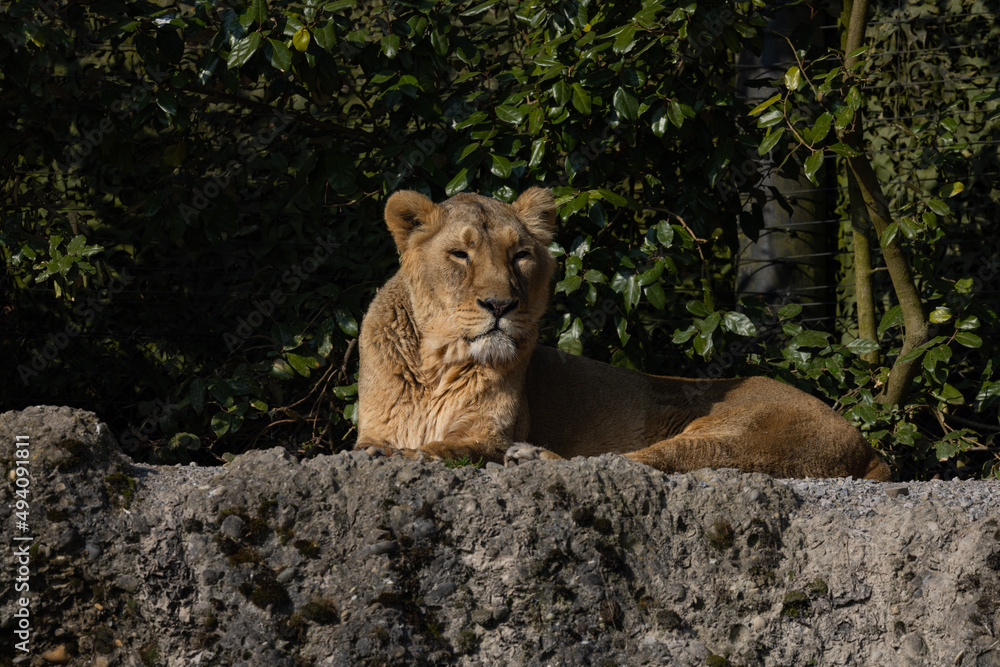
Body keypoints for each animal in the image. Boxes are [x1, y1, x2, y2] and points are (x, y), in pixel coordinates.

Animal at [355, 187, 891, 481]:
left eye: (520, 256)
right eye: (460, 255)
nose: (501, 305)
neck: (436, 364)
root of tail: (866, 446)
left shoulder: (488, 432)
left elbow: (444, 448)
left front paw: (403, 454)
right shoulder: (376, 423)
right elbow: (373, 443)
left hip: (735, 435)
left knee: (629, 462)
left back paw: (532, 457)